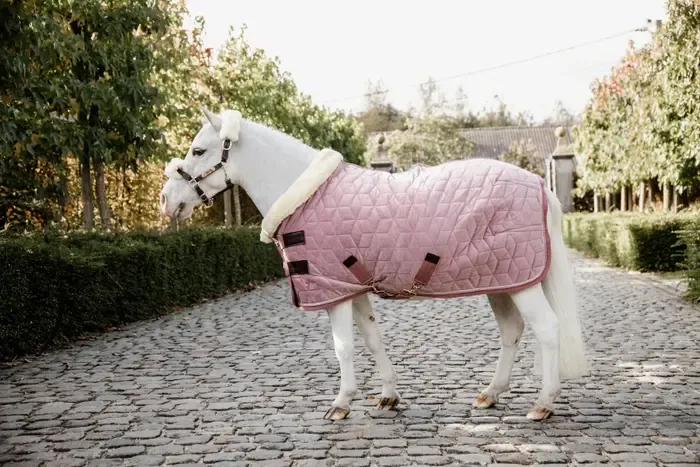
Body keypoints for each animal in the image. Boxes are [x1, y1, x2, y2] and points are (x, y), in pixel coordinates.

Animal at [159, 107, 589, 422]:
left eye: (199, 151)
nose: (167, 199)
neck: (307, 195)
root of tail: (539, 184)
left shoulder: (332, 290)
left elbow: (343, 347)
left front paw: (341, 403)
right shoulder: (354, 288)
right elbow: (371, 338)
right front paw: (388, 396)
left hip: (522, 283)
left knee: (547, 329)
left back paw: (543, 404)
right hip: (501, 280)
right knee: (512, 331)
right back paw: (490, 394)